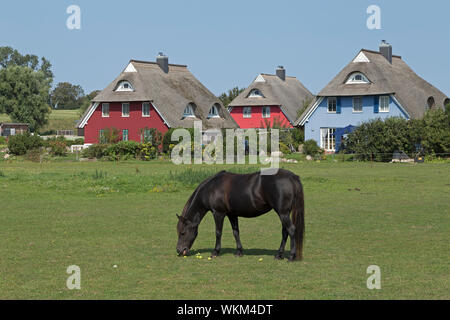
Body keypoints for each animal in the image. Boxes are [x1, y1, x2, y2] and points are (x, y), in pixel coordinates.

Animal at [177, 169, 306, 262]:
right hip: (283, 213)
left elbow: (218, 233)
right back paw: (278, 255)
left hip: (283, 213)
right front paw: (239, 252)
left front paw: (215, 252)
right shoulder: (232, 214)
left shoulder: (218, 213)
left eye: (182, 232)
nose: (179, 250)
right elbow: (236, 232)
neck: (212, 188)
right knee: (285, 232)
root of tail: (292, 177)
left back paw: (291, 256)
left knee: (291, 230)